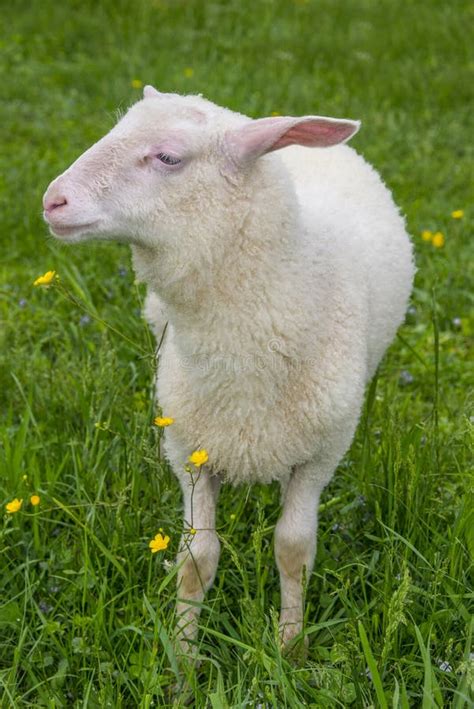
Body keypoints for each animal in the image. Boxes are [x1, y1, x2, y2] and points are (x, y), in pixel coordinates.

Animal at [43, 87, 414, 652]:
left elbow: (293, 548)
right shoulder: (188, 448)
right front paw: (183, 655)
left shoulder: (321, 452)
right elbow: (197, 557)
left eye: (168, 157)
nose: (52, 201)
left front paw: (290, 647)